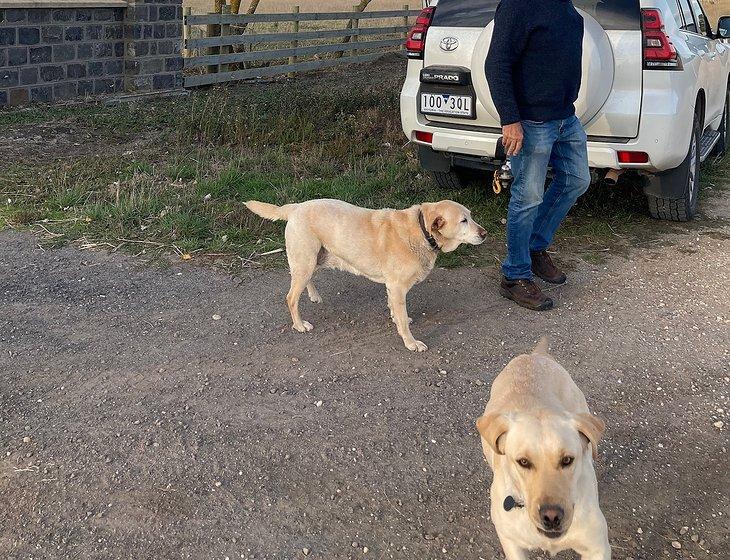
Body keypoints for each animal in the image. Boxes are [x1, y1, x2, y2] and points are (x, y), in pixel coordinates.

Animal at [243, 199, 484, 352]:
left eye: (471, 216)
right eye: (463, 220)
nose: (485, 233)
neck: (421, 230)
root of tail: (295, 207)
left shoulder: (392, 288)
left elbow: (395, 311)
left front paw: (397, 318)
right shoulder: (397, 287)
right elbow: (403, 323)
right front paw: (411, 342)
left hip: (313, 259)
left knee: (305, 281)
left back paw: (313, 295)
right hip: (305, 261)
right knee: (291, 297)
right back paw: (300, 325)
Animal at [474, 340, 604, 556]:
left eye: (567, 460)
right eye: (523, 462)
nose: (551, 517)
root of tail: (533, 355)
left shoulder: (596, 547)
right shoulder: (511, 543)